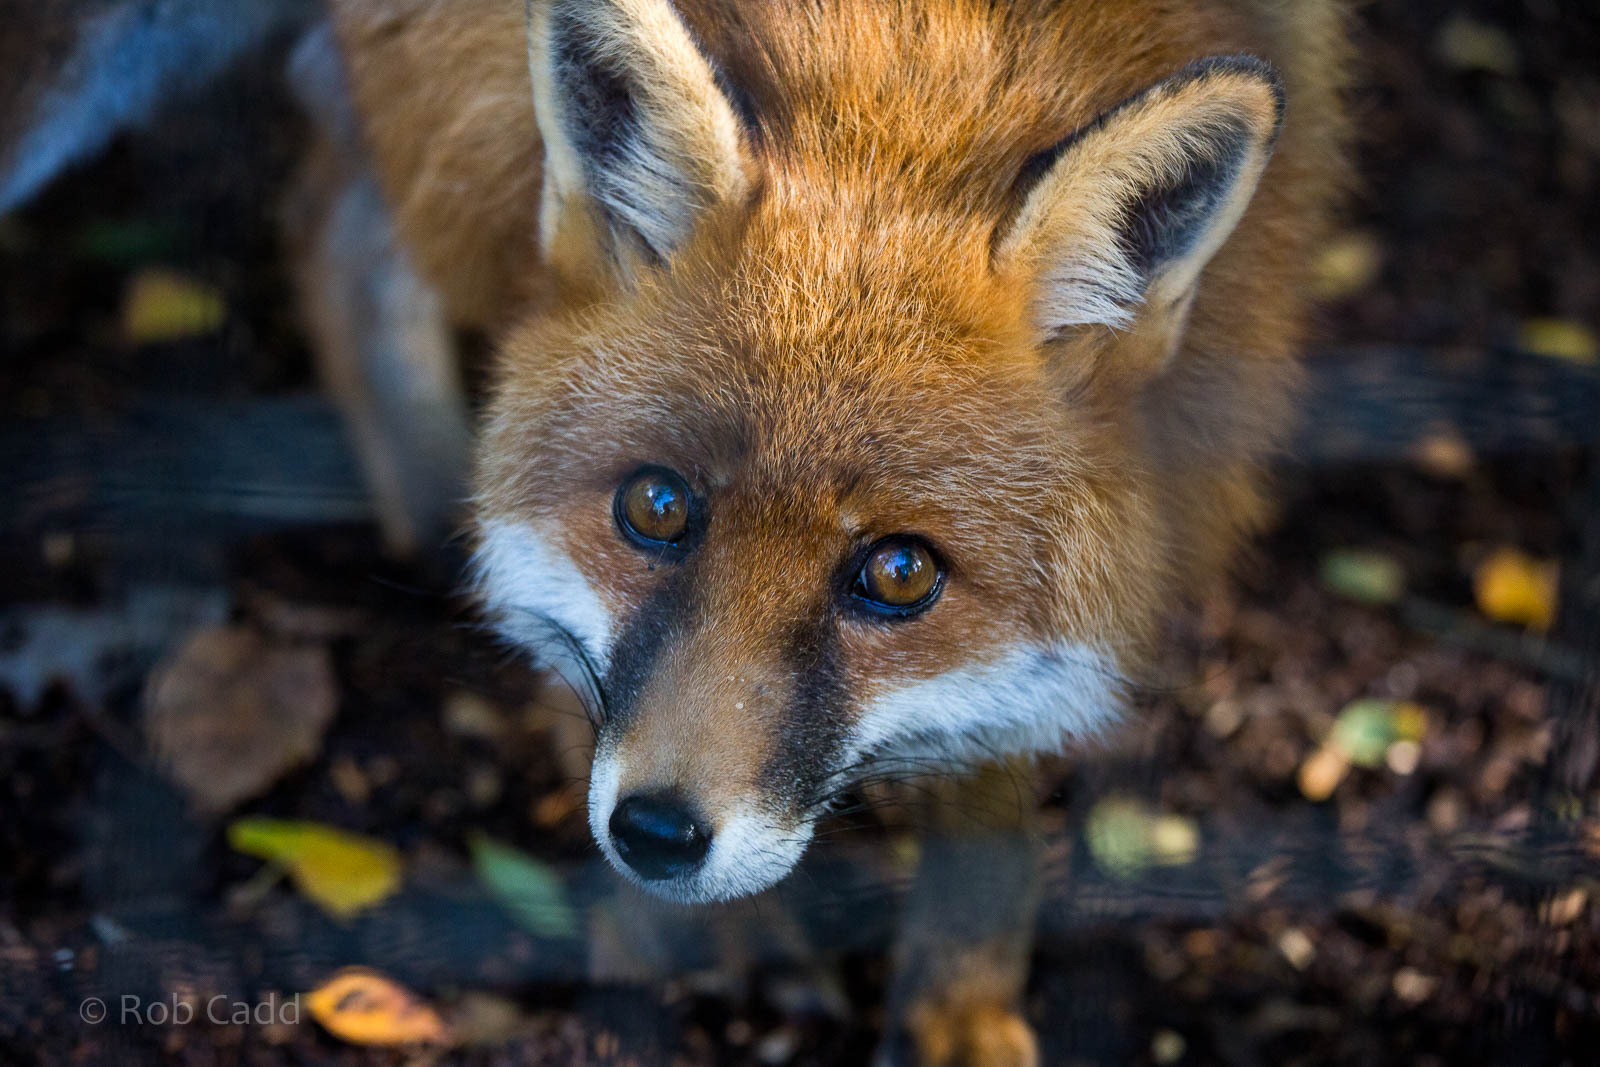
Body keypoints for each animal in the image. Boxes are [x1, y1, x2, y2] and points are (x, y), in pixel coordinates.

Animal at [4, 0, 1349, 1061]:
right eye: (656, 508)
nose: (654, 836)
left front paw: (958, 1007)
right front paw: (708, 929)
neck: (920, 50)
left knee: (332, 227)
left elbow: (994, 774)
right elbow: (570, 641)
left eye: (899, 572)